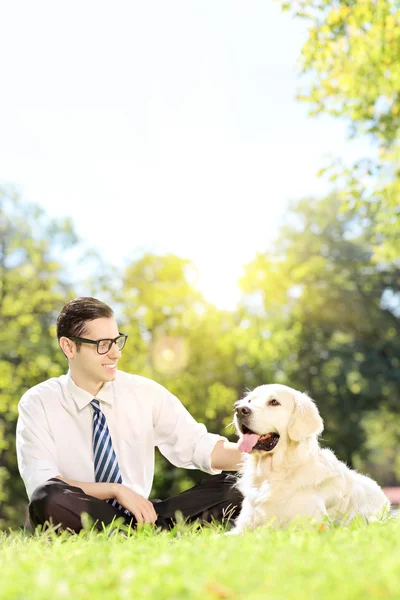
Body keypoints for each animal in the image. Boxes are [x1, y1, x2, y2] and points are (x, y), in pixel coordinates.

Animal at [230, 382, 390, 532]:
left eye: (274, 402)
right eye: (249, 401)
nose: (240, 410)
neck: (273, 474)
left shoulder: (307, 527)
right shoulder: (242, 528)